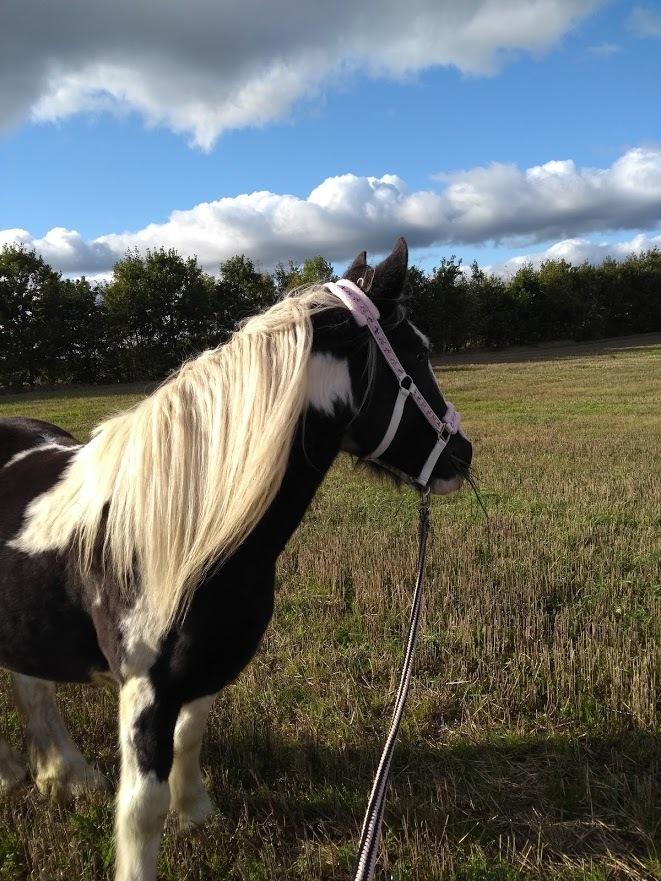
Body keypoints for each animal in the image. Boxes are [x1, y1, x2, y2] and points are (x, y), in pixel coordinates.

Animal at [1, 237, 474, 876]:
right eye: (418, 352)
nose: (460, 455)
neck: (185, 536)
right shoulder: (145, 690)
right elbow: (140, 810)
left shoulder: (211, 663)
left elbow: (191, 738)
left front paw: (197, 813)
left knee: (31, 681)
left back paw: (62, 774)